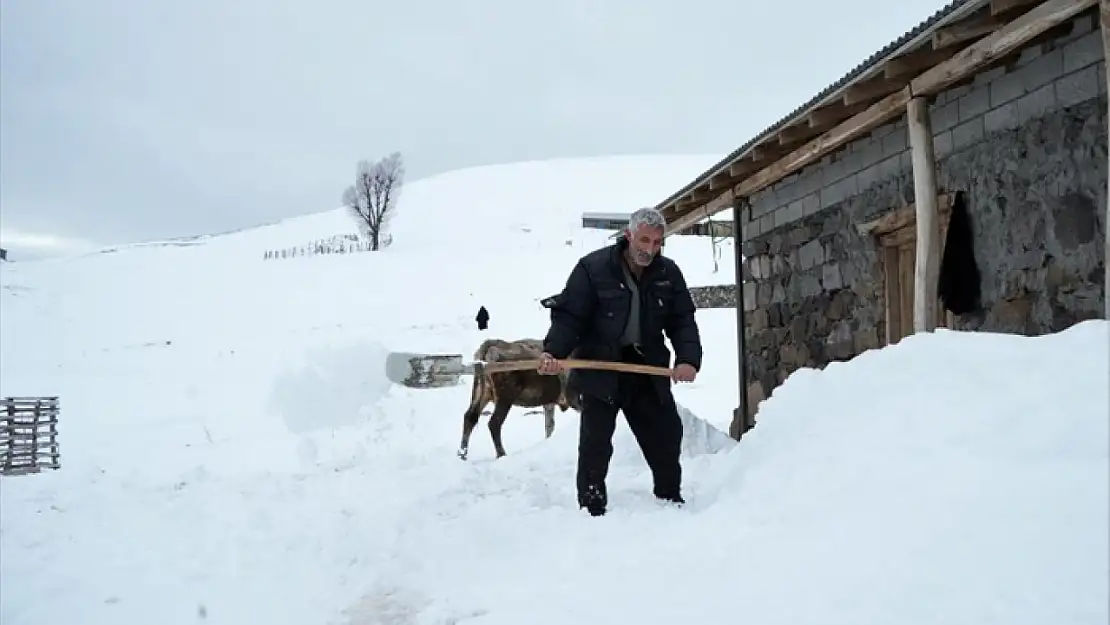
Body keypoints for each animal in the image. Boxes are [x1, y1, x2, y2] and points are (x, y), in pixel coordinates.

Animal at [457, 337, 586, 459]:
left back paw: (462, 454)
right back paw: (501, 454)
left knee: (470, 417)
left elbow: (549, 426)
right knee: (494, 423)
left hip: (482, 391)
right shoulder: (572, 397)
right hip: (506, 396)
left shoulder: (550, 402)